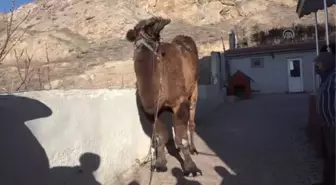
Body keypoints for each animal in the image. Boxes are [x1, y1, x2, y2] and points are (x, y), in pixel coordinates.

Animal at [125, 16, 200, 176]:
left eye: (154, 32)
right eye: (140, 30)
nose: (163, 20)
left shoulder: (180, 102)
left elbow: (181, 138)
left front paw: (191, 168)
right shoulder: (154, 110)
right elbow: (160, 136)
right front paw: (159, 164)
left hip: (194, 89)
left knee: (191, 120)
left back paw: (193, 149)